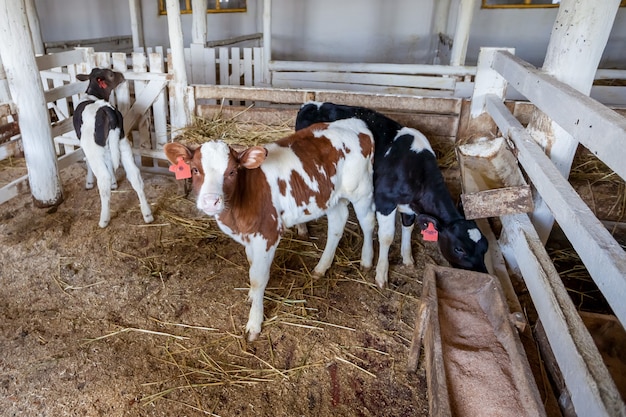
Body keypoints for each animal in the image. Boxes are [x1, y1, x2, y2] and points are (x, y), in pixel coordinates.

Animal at [71, 68, 152, 228]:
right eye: (111, 74)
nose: (122, 74)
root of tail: (107, 109)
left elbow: (88, 162)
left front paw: (89, 182)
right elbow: (110, 162)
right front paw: (115, 182)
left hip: (94, 148)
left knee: (103, 179)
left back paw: (104, 219)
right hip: (122, 142)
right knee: (135, 175)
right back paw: (147, 214)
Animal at [163, 118, 372, 340]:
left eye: (232, 172)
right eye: (195, 169)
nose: (211, 201)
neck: (236, 214)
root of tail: (354, 122)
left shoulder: (267, 234)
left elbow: (258, 278)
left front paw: (254, 323)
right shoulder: (249, 236)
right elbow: (252, 266)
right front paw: (252, 296)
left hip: (362, 191)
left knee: (368, 222)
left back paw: (368, 262)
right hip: (331, 198)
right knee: (337, 223)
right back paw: (321, 268)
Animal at [294, 101, 488, 286]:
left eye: (485, 247)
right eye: (459, 249)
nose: (483, 274)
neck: (415, 169)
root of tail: (311, 104)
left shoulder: (408, 206)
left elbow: (408, 226)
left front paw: (408, 258)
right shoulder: (385, 201)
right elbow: (386, 237)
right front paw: (381, 274)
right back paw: (302, 229)